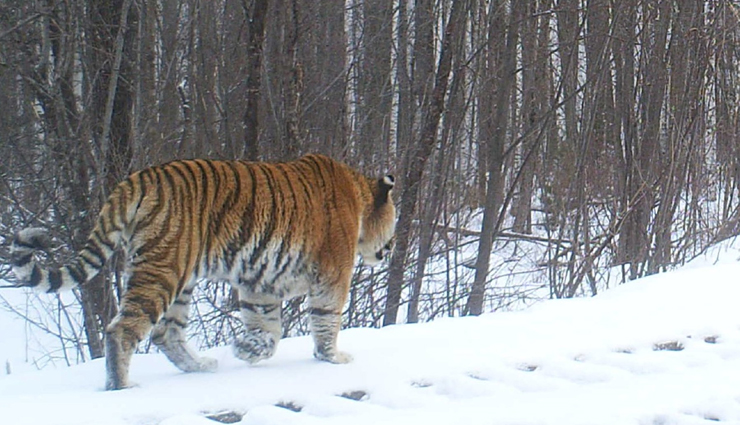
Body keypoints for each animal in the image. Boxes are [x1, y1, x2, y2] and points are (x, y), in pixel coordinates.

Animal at [9, 154, 396, 390]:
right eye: (394, 220)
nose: (390, 249)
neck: (359, 196)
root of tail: (136, 179)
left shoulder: (260, 284)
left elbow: (269, 329)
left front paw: (246, 349)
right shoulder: (333, 274)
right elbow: (326, 319)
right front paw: (333, 358)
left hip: (181, 280)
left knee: (166, 334)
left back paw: (201, 366)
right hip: (162, 272)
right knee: (122, 331)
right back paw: (121, 386)